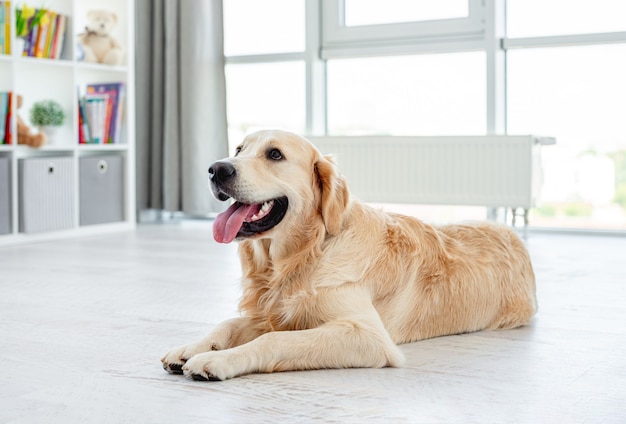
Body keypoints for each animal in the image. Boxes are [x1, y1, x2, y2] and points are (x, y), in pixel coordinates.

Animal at [161, 129, 536, 380]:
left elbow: (273, 339)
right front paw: (191, 348)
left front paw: (216, 360)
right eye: (238, 148)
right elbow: (228, 324)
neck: (302, 256)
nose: (217, 169)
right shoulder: (269, 310)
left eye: (275, 154)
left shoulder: (367, 335)